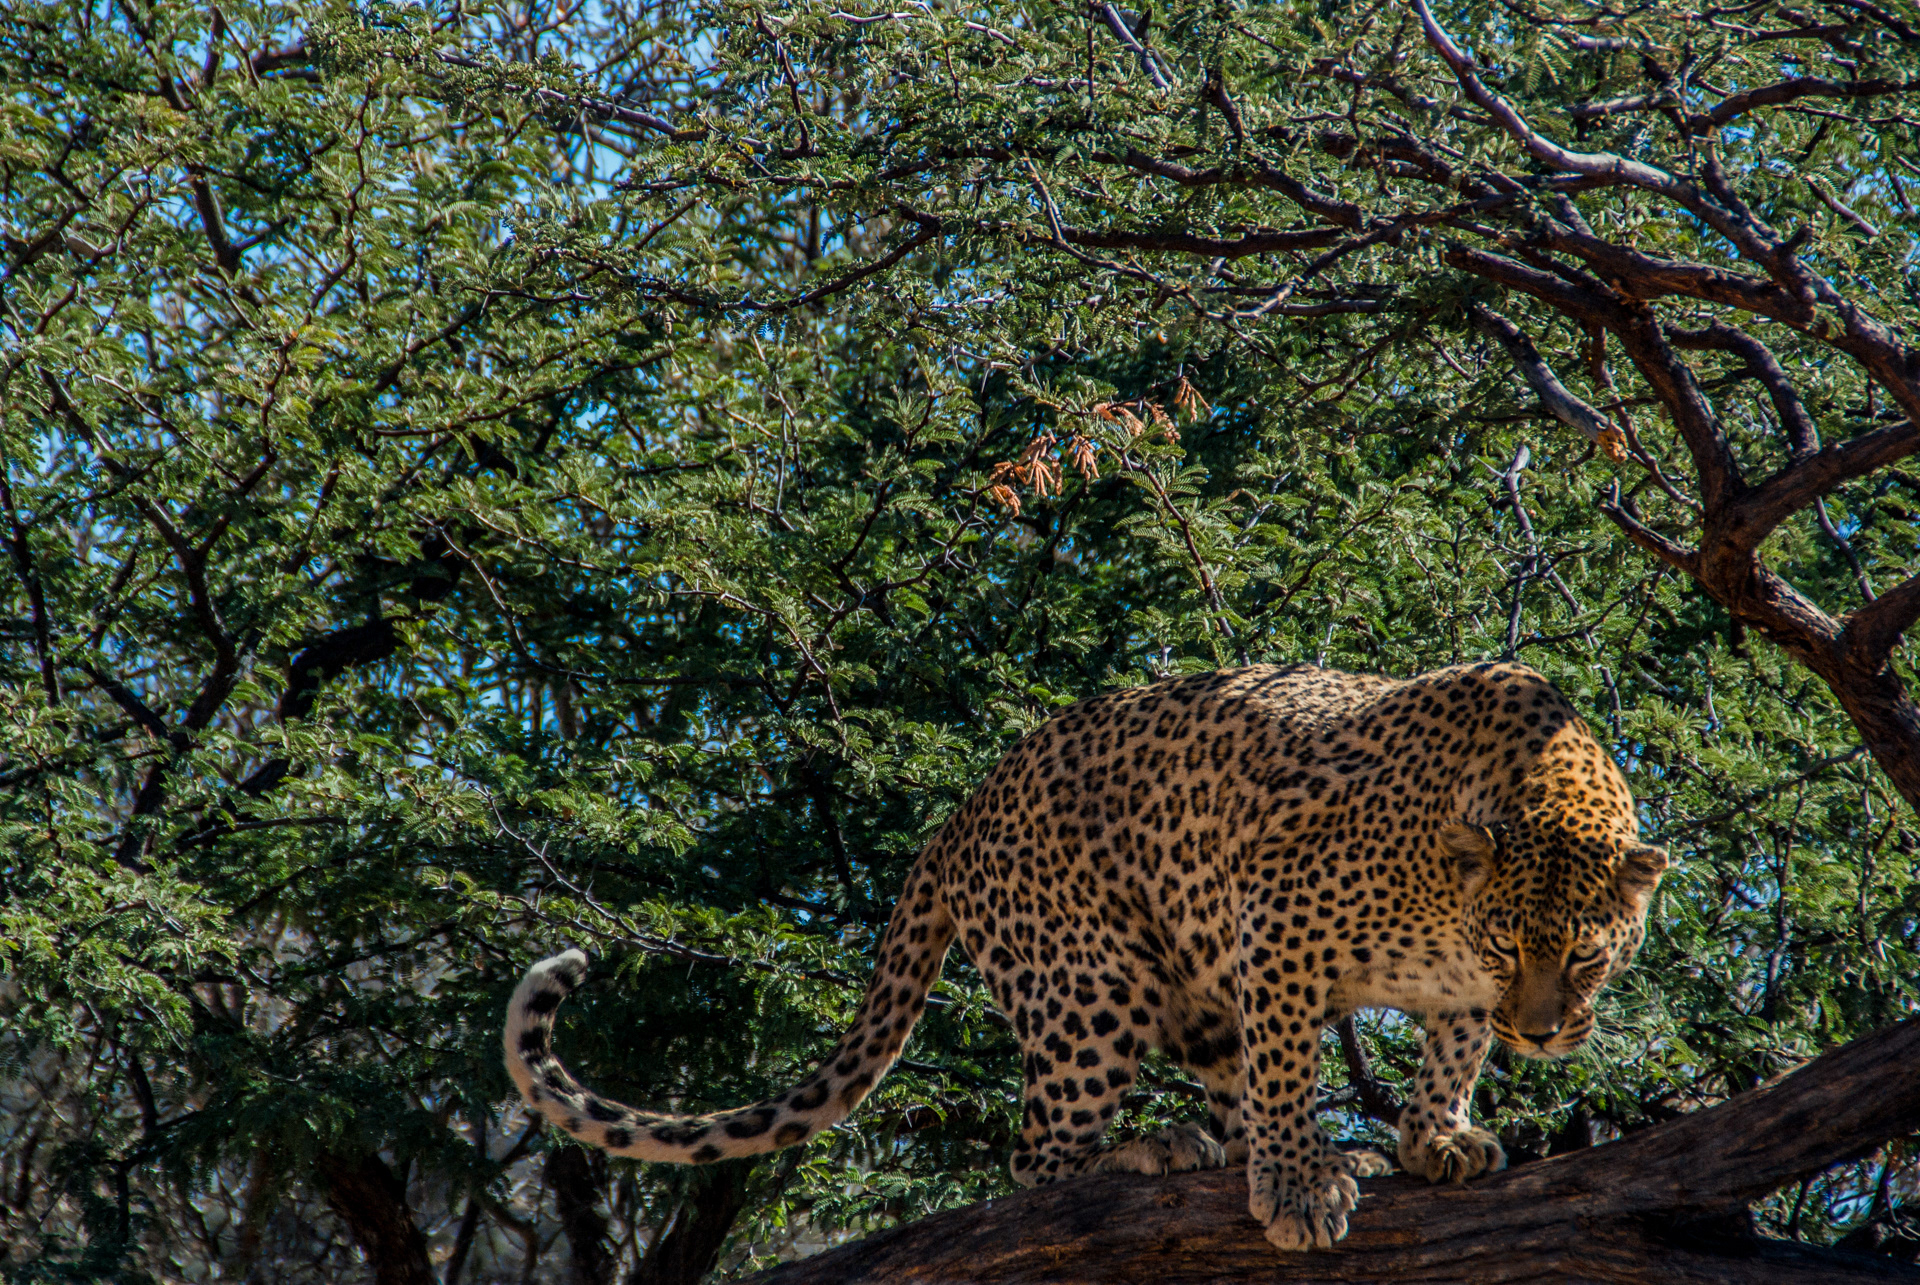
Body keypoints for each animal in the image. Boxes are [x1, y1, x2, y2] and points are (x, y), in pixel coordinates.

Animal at [505, 661, 1667, 1251]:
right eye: (1513, 940)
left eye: (1588, 957)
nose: (1542, 1030)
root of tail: (957, 814)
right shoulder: (1276, 925)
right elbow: (1293, 1070)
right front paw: (1301, 1186)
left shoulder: (1452, 990)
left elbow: (1450, 1053)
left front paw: (1436, 1137)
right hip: (1089, 989)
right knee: (1035, 1162)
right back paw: (1149, 1151)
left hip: (1185, 989)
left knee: (1212, 1091)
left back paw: (1224, 1149)